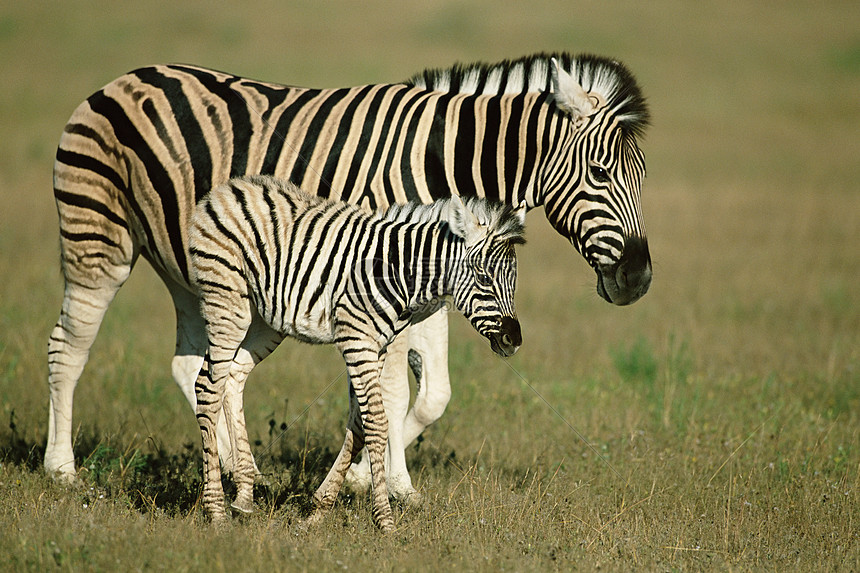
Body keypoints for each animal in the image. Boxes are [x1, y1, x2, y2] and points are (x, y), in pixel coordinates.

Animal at [188, 174, 524, 528]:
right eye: (483, 277)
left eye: (514, 280)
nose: (513, 339)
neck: (398, 273)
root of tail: (229, 188)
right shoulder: (357, 341)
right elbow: (376, 420)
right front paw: (385, 519)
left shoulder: (378, 346)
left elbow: (360, 424)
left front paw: (319, 510)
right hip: (228, 301)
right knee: (207, 387)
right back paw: (215, 510)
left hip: (265, 320)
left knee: (233, 377)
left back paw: (244, 496)